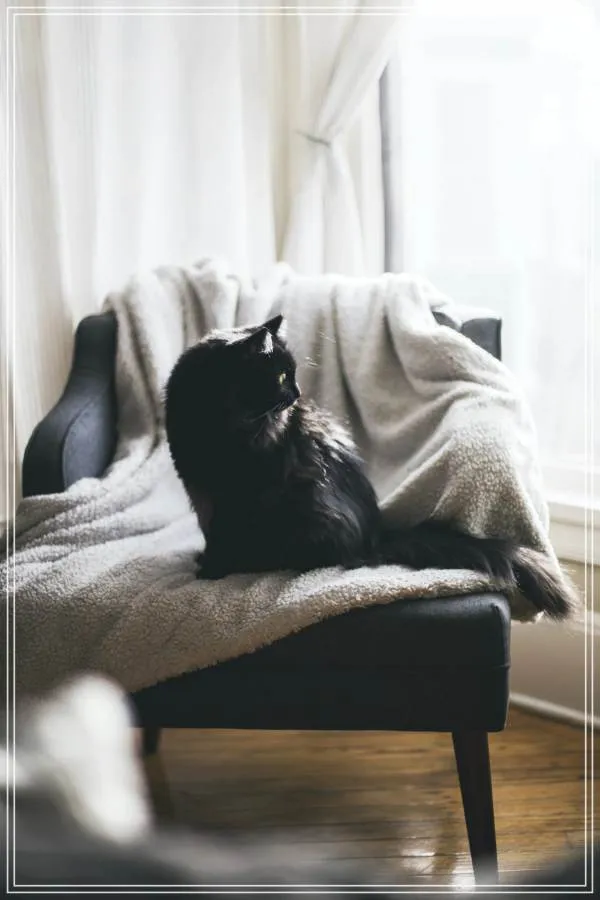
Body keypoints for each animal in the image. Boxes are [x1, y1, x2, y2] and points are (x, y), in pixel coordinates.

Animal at [164, 315, 577, 620]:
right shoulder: (200, 489)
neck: (216, 425)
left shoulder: (237, 496)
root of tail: (375, 535)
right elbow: (211, 532)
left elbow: (224, 536)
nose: (298, 394)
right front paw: (206, 562)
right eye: (281, 376)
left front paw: (212, 570)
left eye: (292, 374)